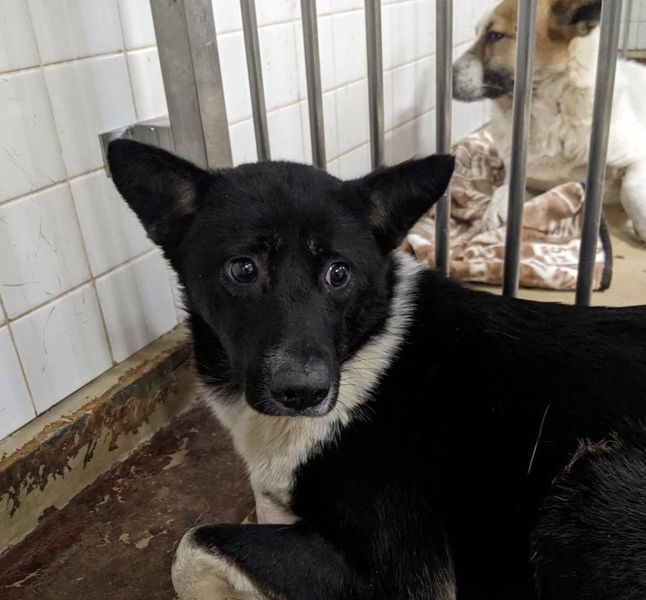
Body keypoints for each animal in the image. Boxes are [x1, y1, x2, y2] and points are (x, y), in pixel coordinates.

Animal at [108, 138, 646, 600]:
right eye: (242, 269)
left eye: (339, 273)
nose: (303, 393)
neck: (367, 350)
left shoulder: (405, 576)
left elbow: (192, 546)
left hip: (585, 486)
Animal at [453, 0, 646, 242]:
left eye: (495, 35)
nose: (446, 79)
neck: (547, 117)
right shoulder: (532, 182)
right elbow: (504, 190)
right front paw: (493, 211)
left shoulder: (636, 152)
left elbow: (630, 188)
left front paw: (642, 222)